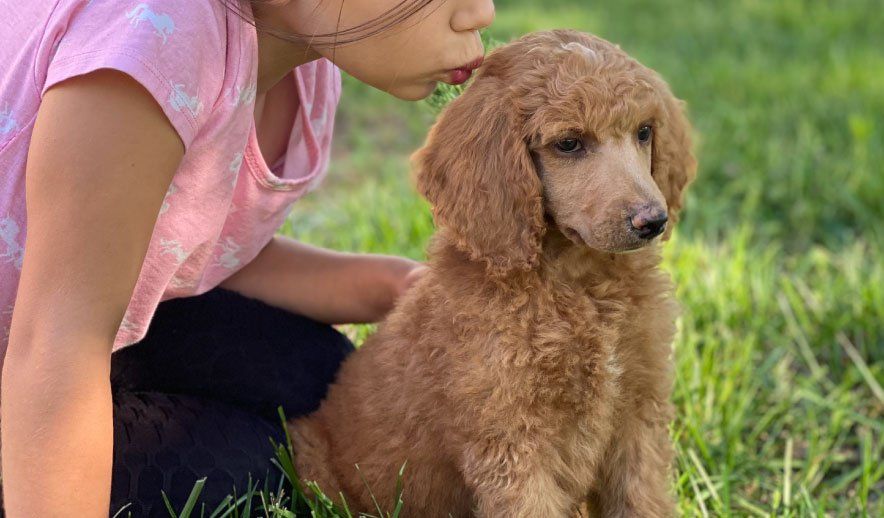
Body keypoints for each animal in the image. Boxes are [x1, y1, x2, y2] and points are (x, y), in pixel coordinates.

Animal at [290, 29, 696, 518]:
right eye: (569, 144)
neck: (581, 286)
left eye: (644, 132)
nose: (652, 221)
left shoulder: (638, 414)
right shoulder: (512, 443)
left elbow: (642, 500)